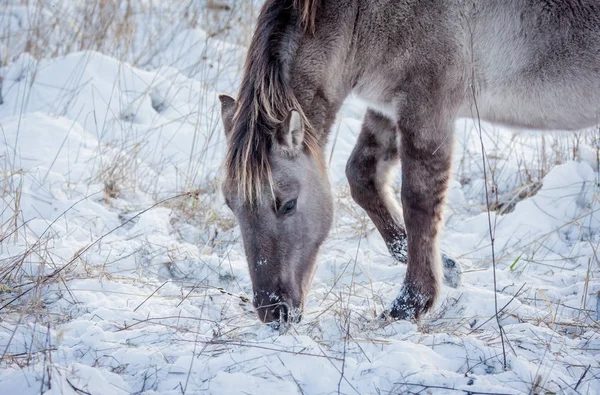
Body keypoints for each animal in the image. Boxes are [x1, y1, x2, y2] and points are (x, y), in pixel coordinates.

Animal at [218, 0, 600, 326]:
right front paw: (447, 267)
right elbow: (362, 177)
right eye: (231, 206)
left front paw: (410, 304)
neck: (366, 14)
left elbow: (419, 202)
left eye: (287, 204)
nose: (274, 312)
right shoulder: (388, 106)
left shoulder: (427, 111)